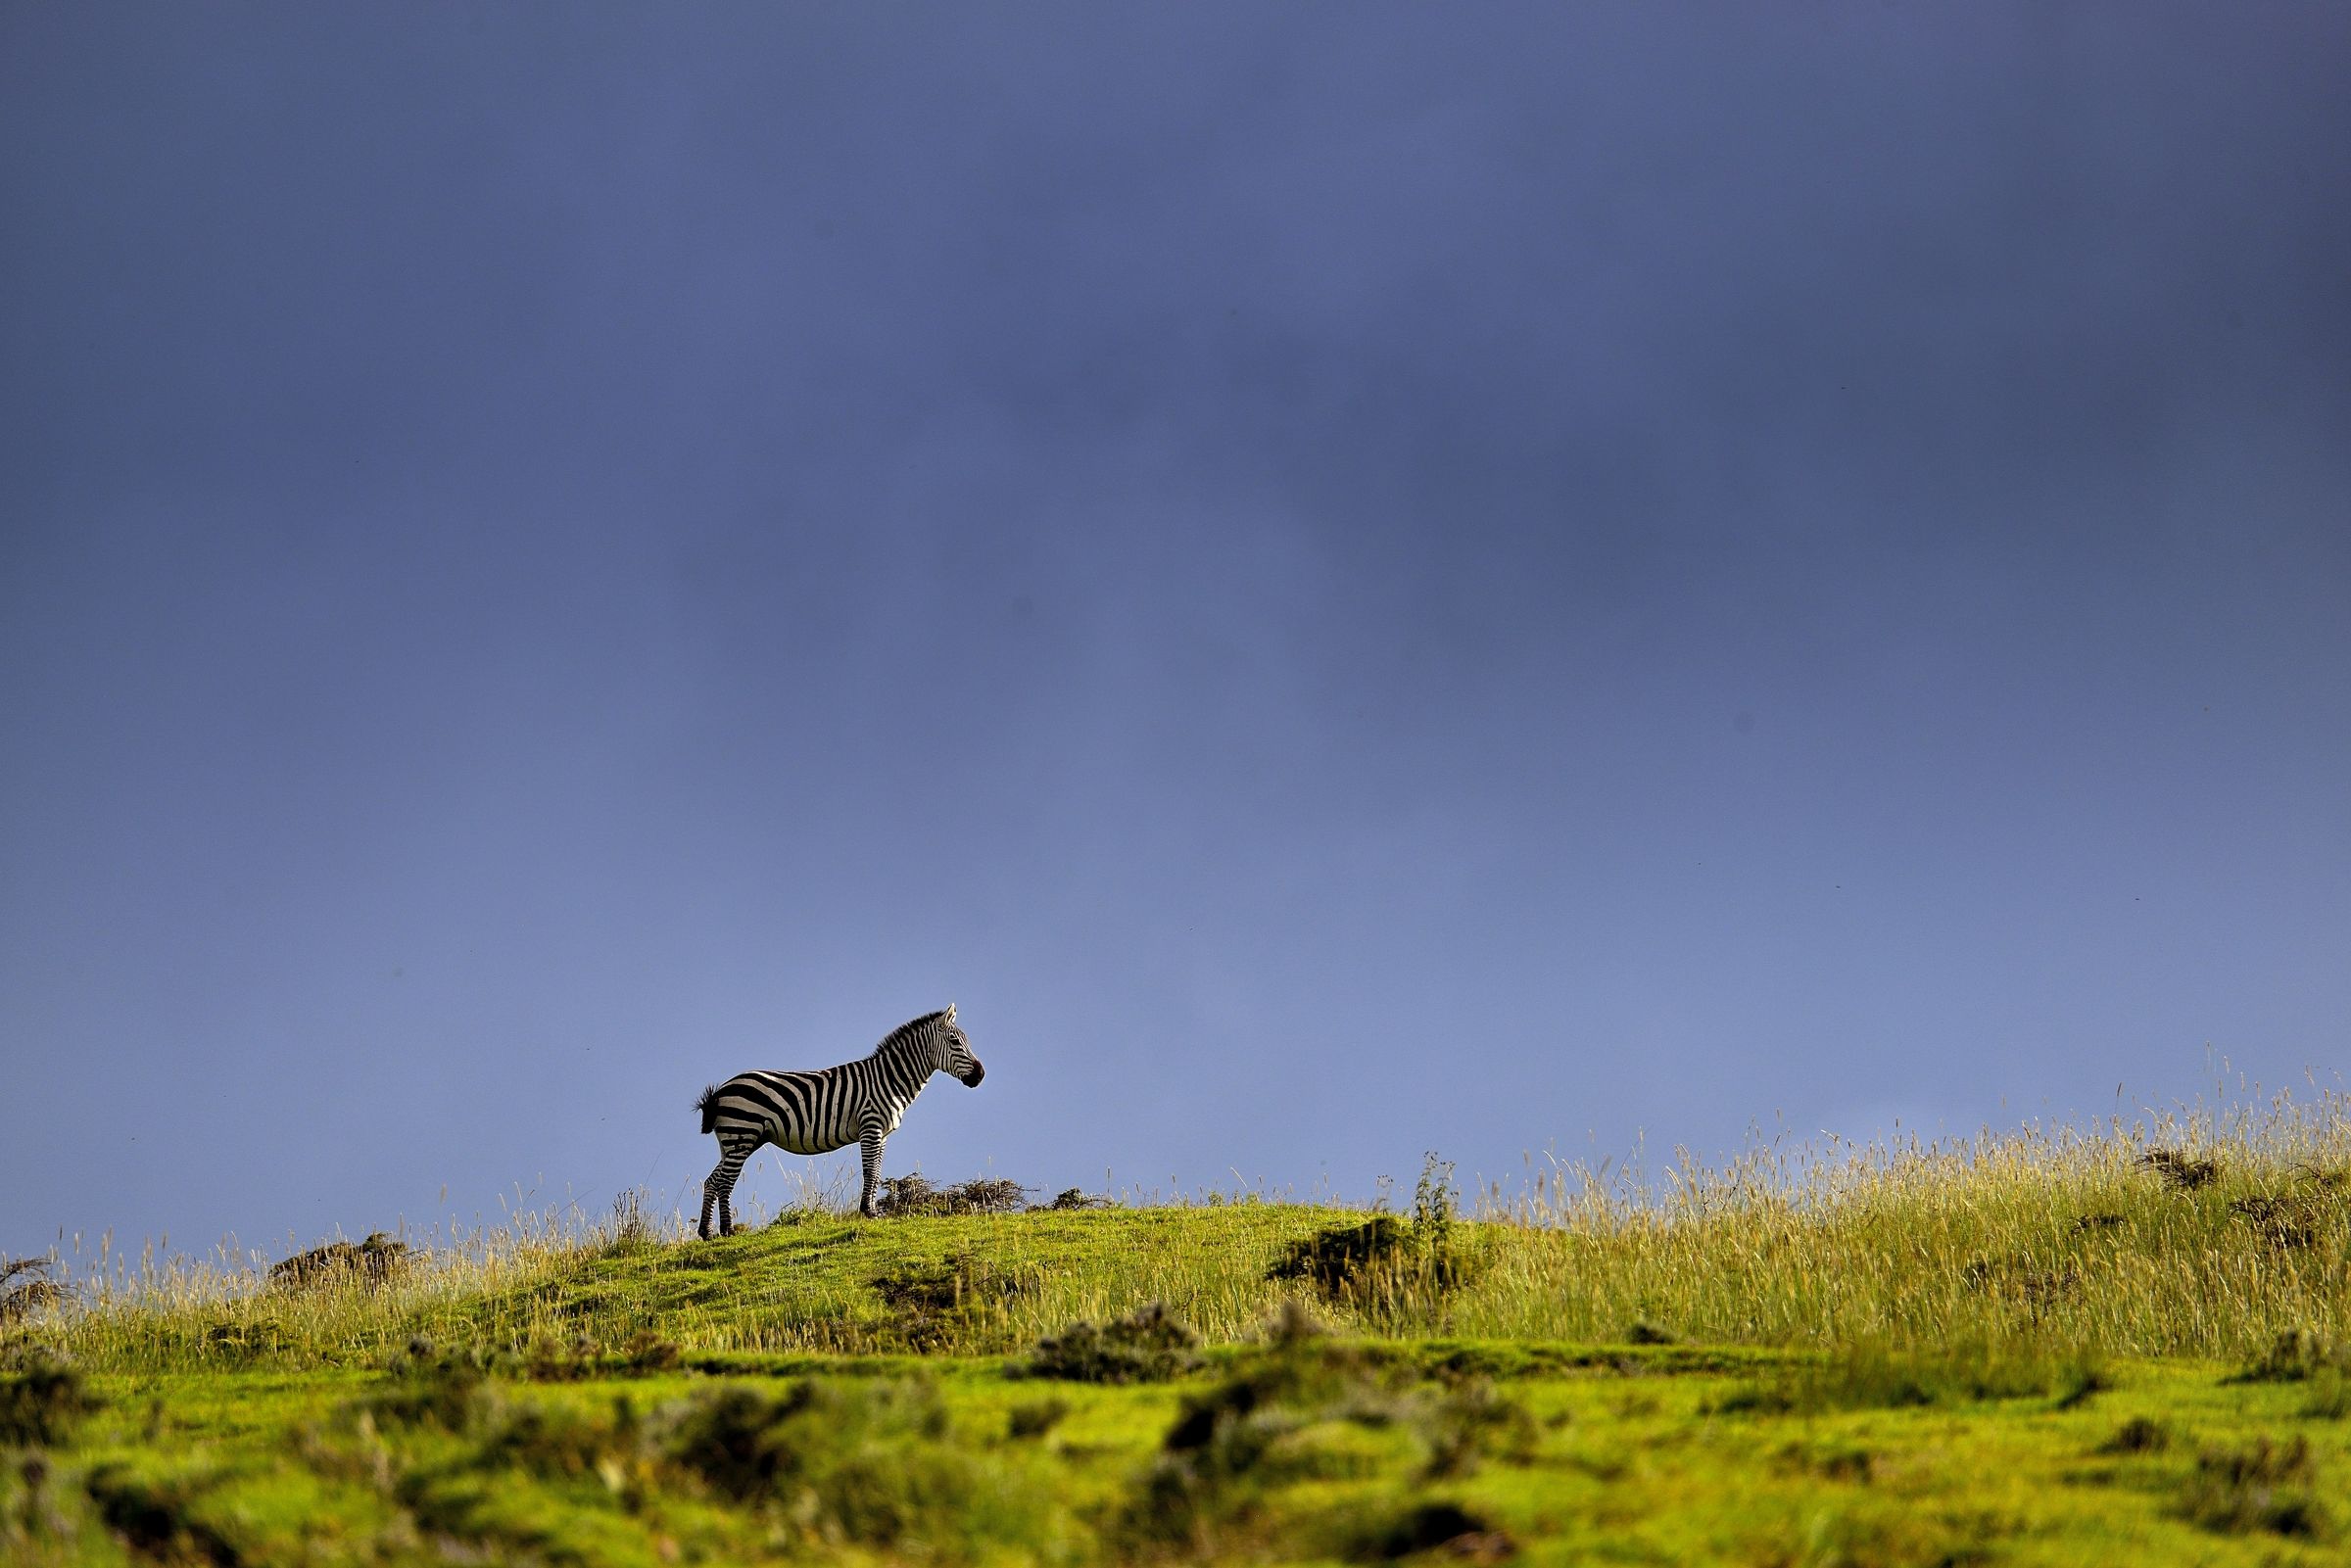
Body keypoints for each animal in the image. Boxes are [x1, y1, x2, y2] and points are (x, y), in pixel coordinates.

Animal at [693, 1004, 986, 1238]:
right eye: (955, 1042)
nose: (980, 1075)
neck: (889, 1079)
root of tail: (721, 1089)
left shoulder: (882, 1134)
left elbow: (877, 1171)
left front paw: (872, 1211)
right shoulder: (871, 1126)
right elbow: (870, 1171)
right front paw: (868, 1212)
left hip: (737, 1141)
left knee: (712, 1181)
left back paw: (707, 1232)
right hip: (742, 1136)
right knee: (724, 1182)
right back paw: (728, 1230)